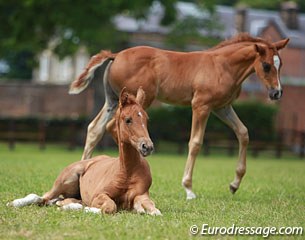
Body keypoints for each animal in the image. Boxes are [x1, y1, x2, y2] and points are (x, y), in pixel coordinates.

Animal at [7, 88, 160, 216]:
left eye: (146, 119)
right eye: (128, 120)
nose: (147, 146)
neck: (127, 172)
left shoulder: (142, 195)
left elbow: (154, 210)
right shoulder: (99, 195)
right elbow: (110, 206)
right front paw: (88, 209)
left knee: (56, 201)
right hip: (65, 180)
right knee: (41, 197)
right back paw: (14, 203)